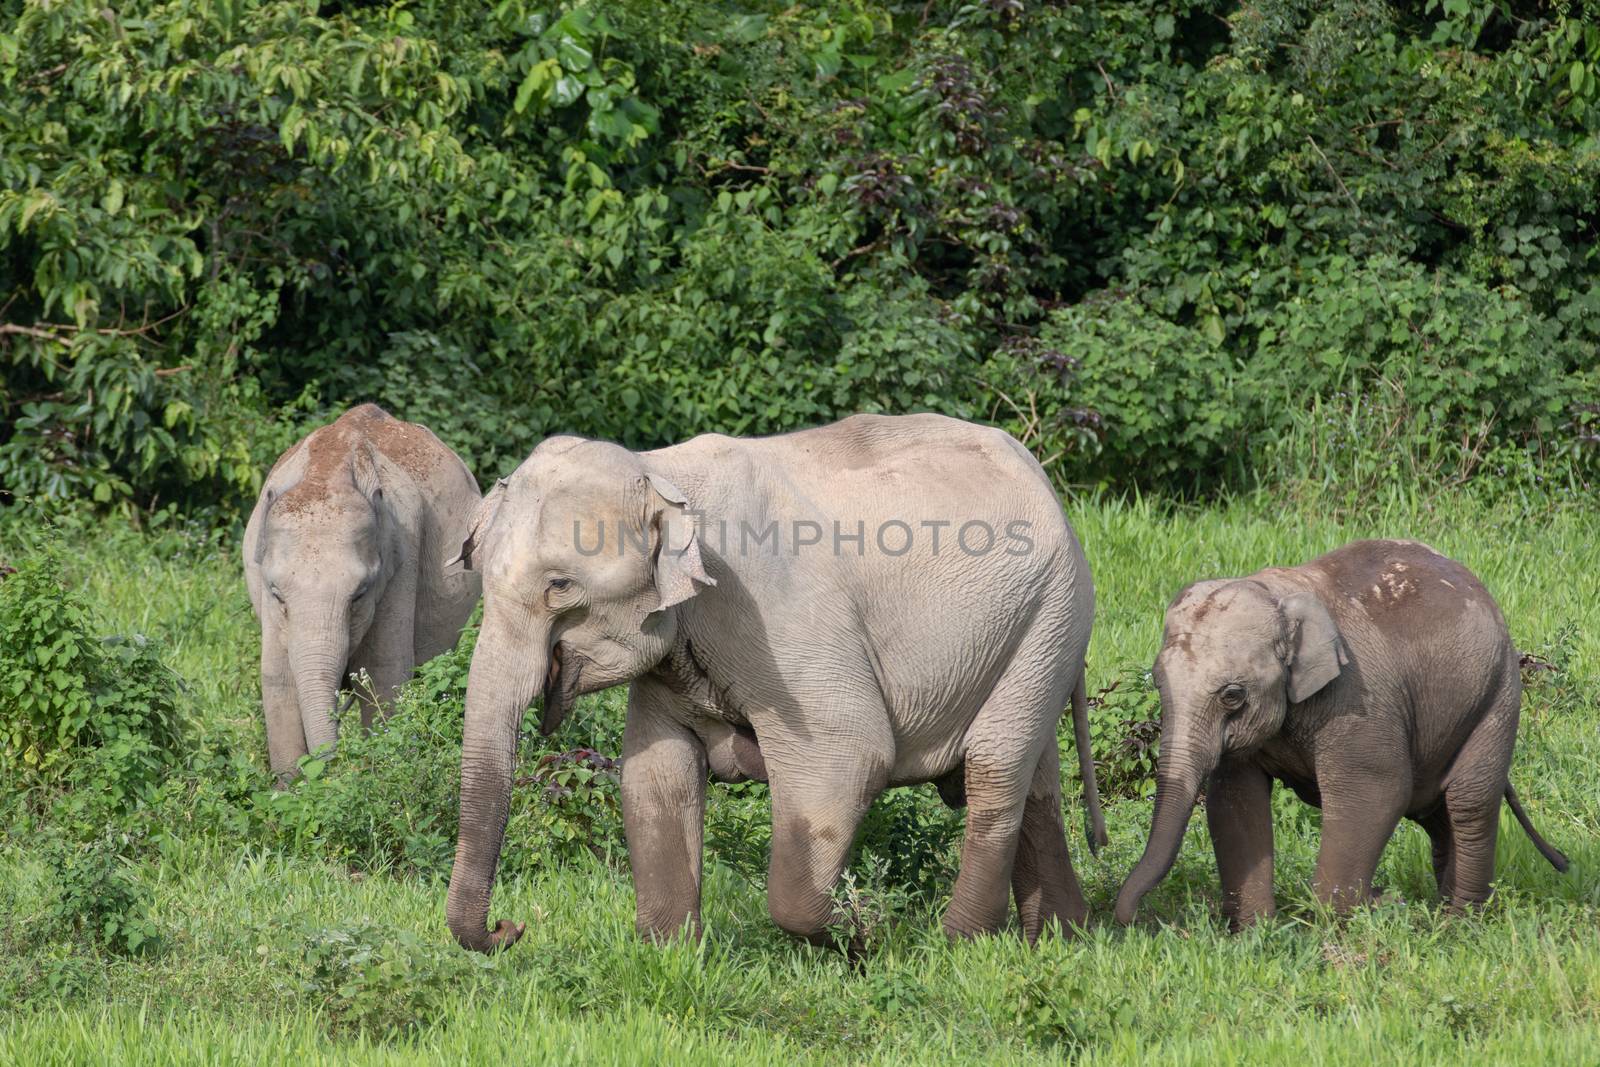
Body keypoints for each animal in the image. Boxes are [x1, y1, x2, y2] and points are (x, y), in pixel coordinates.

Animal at [243, 404, 480, 780]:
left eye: (359, 595)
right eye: (278, 595)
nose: (328, 768)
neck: (328, 472)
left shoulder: (402, 561)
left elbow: (385, 674)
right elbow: (277, 681)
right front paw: (293, 787)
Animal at [444, 415, 1107, 953]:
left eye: (560, 586)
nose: (511, 927)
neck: (663, 472)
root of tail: (1040, 475)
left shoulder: (778, 620)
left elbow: (849, 754)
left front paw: (867, 932)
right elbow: (654, 776)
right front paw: (670, 955)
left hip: (1053, 613)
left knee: (994, 770)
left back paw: (960, 943)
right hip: (1035, 635)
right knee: (1032, 779)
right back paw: (1065, 938)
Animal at [1113, 537, 1561, 927]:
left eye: (1232, 696)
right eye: (1157, 682)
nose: (1137, 918)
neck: (1276, 594)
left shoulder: (1357, 697)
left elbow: (1376, 790)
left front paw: (1340, 919)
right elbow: (1235, 799)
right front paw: (1256, 932)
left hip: (1497, 696)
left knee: (1469, 803)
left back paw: (1459, 923)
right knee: (1435, 813)